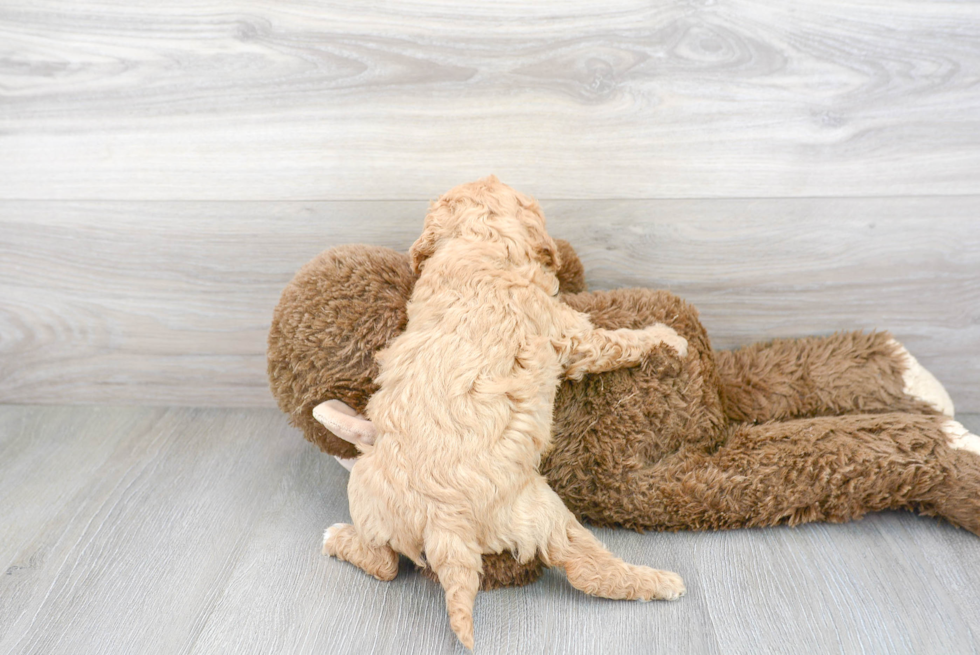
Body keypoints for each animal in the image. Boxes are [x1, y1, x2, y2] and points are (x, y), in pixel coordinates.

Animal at [324, 177, 688, 648]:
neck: (478, 243)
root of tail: (442, 526)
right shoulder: (568, 333)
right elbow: (615, 341)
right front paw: (666, 337)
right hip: (539, 513)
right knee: (586, 569)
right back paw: (658, 582)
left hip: (371, 501)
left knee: (383, 564)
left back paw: (341, 537)